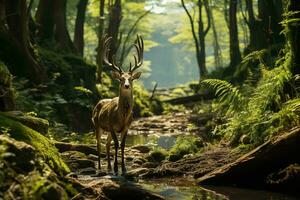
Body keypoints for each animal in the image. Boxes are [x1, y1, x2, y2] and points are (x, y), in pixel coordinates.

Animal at [91, 35, 144, 176]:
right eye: (121, 78)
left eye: (131, 78)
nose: (126, 85)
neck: (122, 117)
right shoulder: (111, 125)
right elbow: (116, 144)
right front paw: (116, 169)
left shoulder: (127, 127)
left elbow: (123, 145)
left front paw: (123, 169)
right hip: (97, 124)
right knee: (99, 144)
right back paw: (100, 167)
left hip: (107, 129)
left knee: (107, 144)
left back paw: (108, 167)